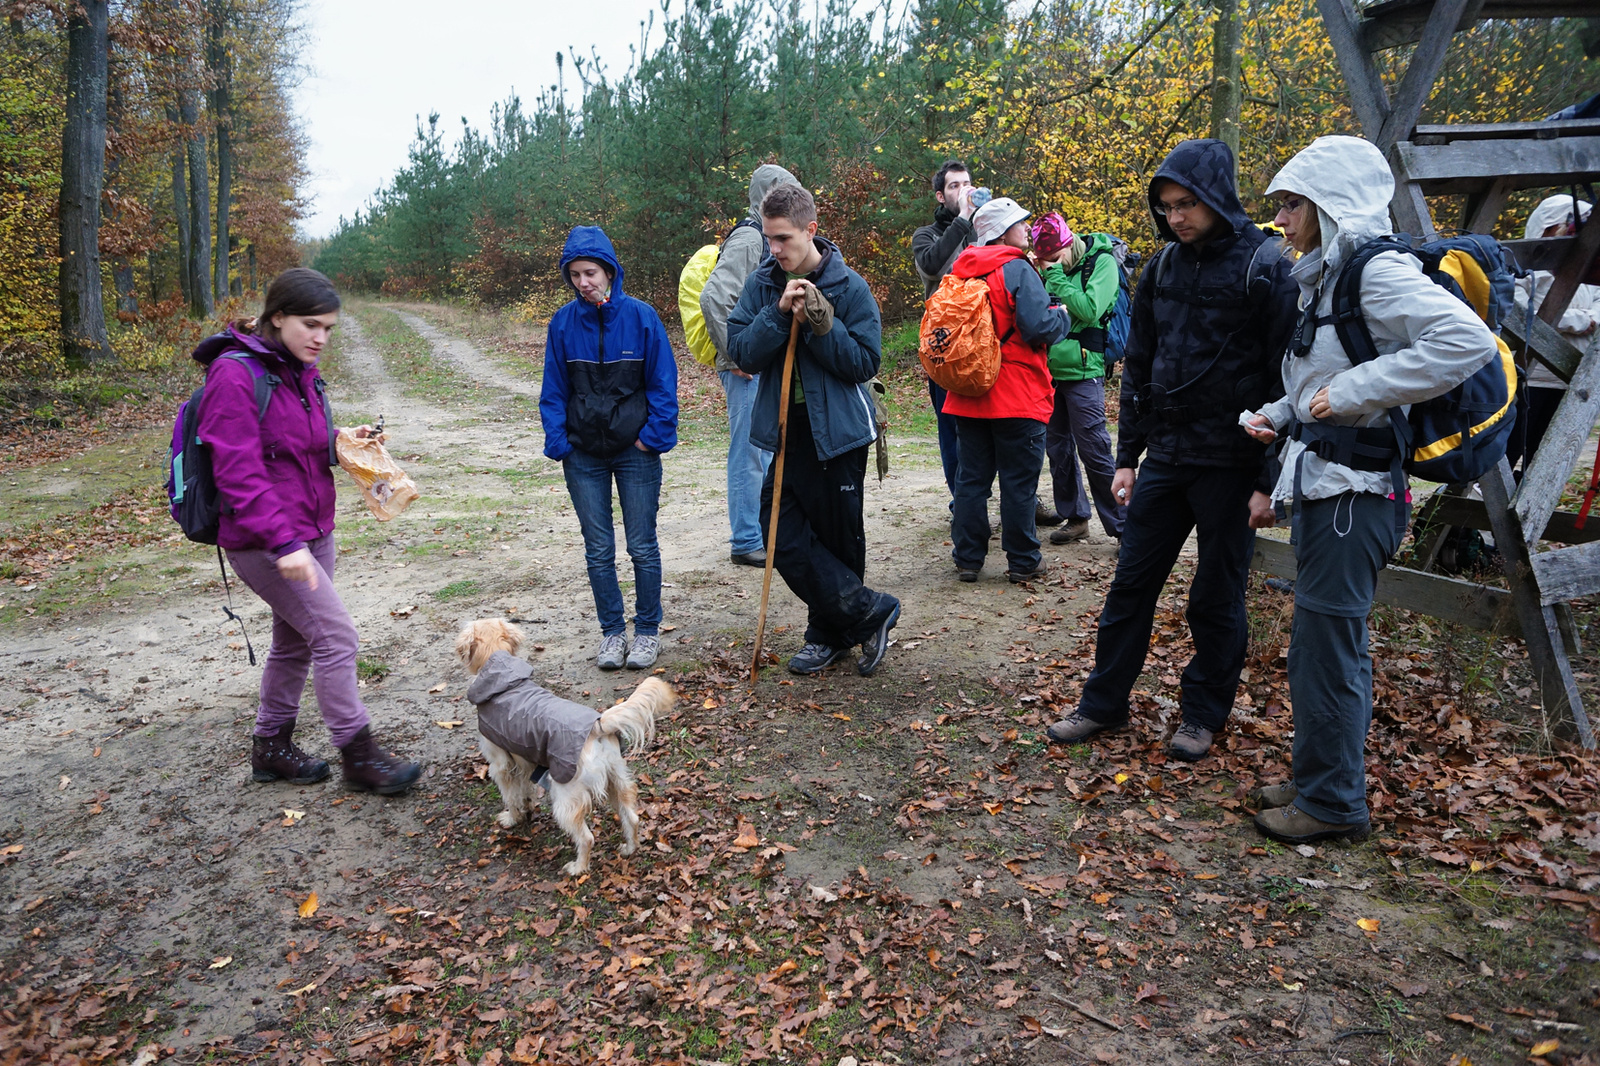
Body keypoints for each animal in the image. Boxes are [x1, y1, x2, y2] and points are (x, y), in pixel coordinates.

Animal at [457, 614, 668, 870]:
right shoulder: (525, 762)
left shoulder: (501, 765)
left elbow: (511, 796)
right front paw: (528, 808)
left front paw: (512, 818)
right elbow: (525, 790)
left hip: (565, 797)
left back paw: (578, 868)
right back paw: (629, 848)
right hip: (616, 782)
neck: (505, 681)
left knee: (587, 838)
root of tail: (597, 726)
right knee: (632, 818)